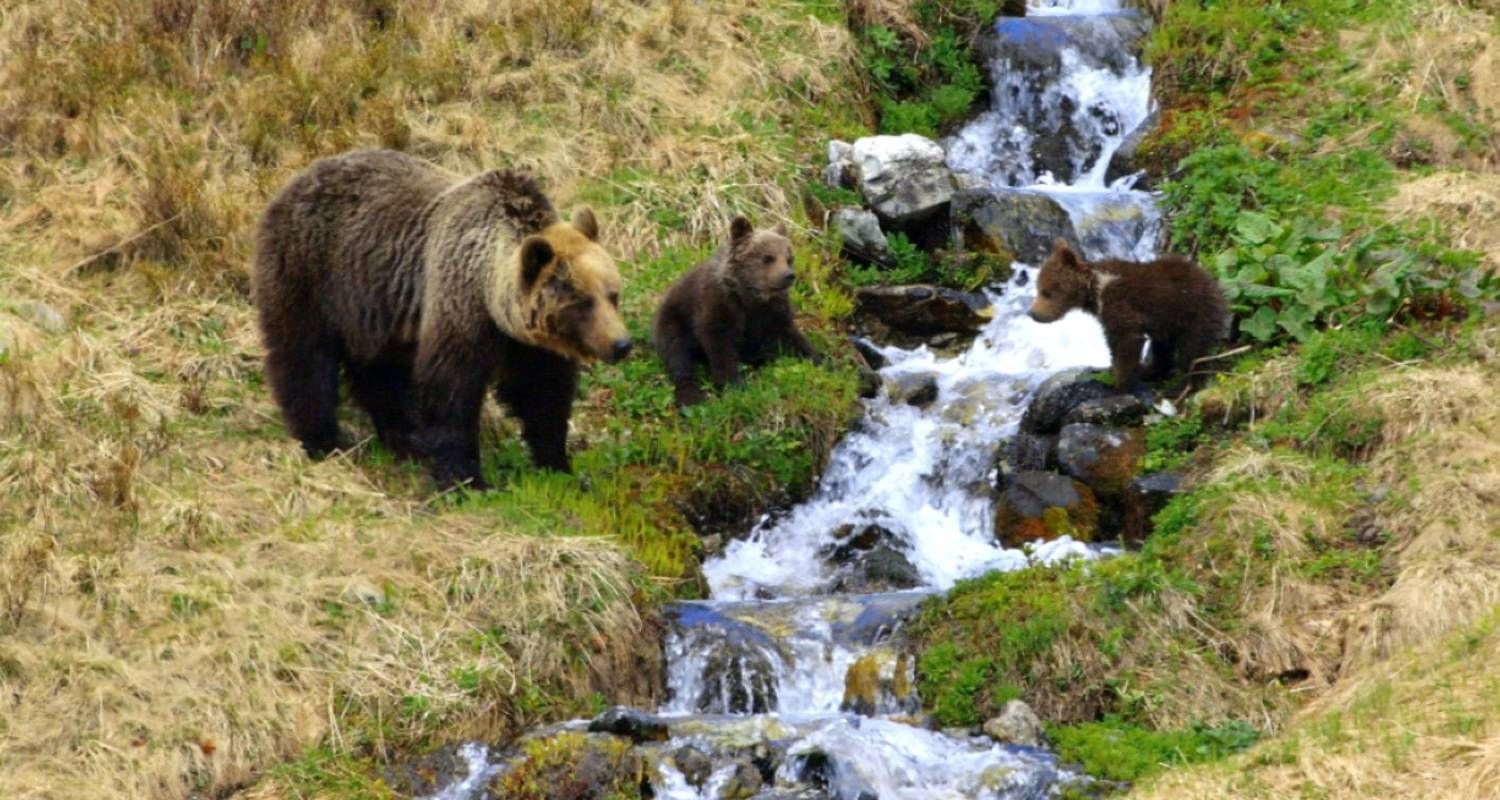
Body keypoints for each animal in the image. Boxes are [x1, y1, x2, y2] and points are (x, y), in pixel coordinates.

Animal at [252, 149, 630, 489]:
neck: (491, 297)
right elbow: (451, 394)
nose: (622, 344)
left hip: (373, 308)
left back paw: (403, 436)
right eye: (581, 302)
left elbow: (543, 393)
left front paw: (558, 465)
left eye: (612, 294)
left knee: (379, 372)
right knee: (304, 356)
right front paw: (466, 479)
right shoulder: (459, 307)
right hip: (310, 273)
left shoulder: (528, 344)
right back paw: (323, 440)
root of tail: (295, 179)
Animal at [653, 216, 818, 407]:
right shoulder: (719, 304)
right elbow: (719, 344)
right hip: (674, 320)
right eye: (768, 258)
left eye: (789, 258)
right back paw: (690, 395)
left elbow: (790, 336)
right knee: (678, 354)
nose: (788, 275)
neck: (751, 296)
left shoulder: (772, 312)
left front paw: (822, 359)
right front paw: (733, 386)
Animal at [1028, 238, 1228, 394]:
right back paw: (1150, 371)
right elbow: (1113, 342)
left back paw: (1184, 387)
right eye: (1038, 288)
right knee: (1163, 347)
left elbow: (1127, 340)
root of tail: (1215, 284)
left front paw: (1119, 385)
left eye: (1047, 292)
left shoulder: (1119, 303)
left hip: (1193, 314)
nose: (1033, 313)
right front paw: (1113, 372)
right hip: (1170, 321)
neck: (1095, 290)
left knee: (1192, 351)